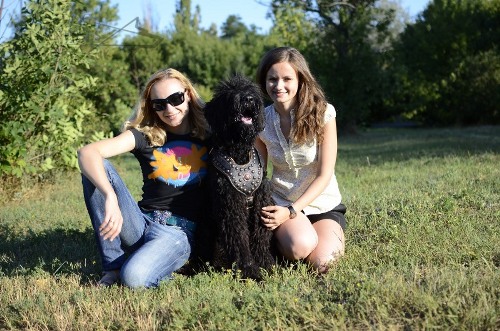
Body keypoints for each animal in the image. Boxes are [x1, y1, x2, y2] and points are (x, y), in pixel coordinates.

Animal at [195, 73, 276, 280]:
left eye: (251, 89)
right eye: (228, 93)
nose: (248, 99)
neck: (238, 153)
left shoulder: (260, 202)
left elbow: (259, 237)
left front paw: (266, 265)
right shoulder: (230, 206)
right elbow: (239, 239)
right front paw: (250, 270)